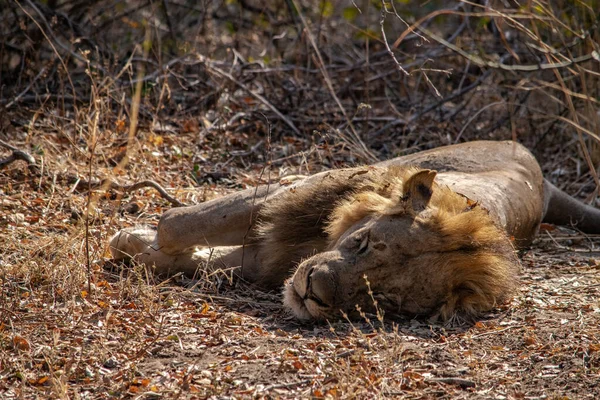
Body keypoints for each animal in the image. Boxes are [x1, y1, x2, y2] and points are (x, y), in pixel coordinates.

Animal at [109, 141, 600, 322]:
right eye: (361, 244)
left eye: (381, 301)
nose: (312, 291)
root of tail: (543, 181)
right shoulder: (291, 198)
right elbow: (179, 223)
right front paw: (132, 241)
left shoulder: (271, 256)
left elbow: (203, 257)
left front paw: (138, 247)